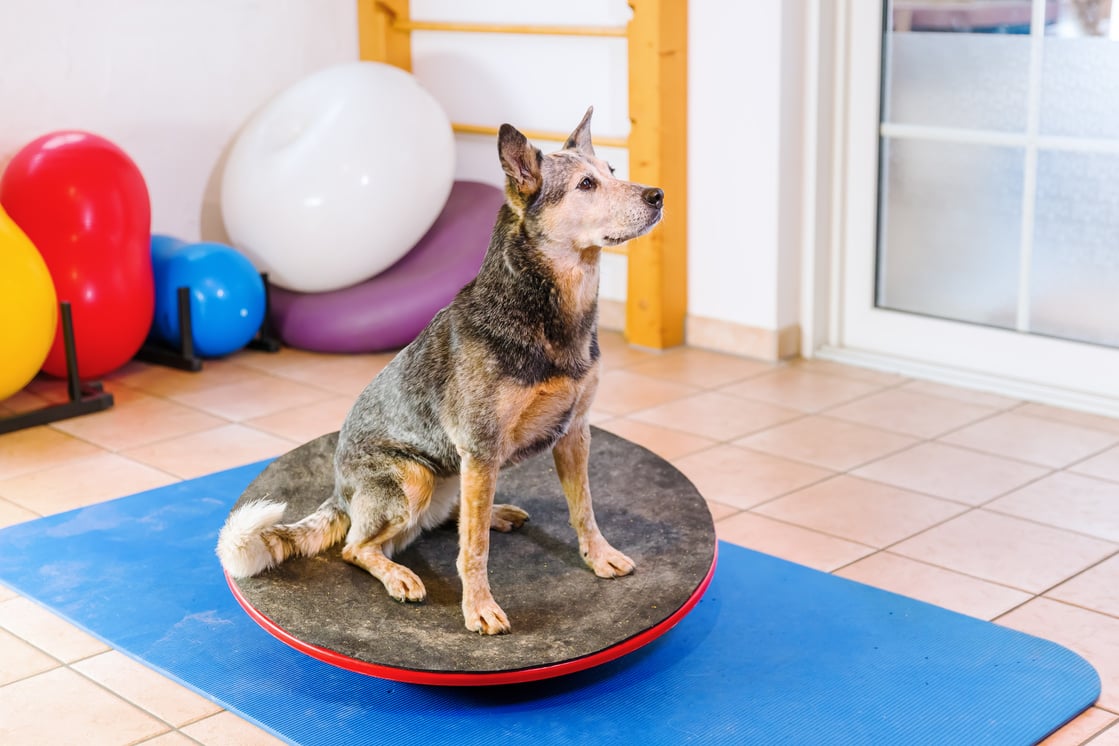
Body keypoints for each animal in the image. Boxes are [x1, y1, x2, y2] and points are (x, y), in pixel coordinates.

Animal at [218, 109, 662, 635]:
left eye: (614, 171)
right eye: (587, 185)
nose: (658, 195)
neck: (548, 313)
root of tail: (339, 494)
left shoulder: (575, 433)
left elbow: (584, 509)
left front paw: (599, 556)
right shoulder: (482, 447)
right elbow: (474, 550)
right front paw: (478, 607)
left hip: (456, 475)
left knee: (454, 517)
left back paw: (494, 514)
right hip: (416, 478)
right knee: (358, 547)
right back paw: (398, 575)